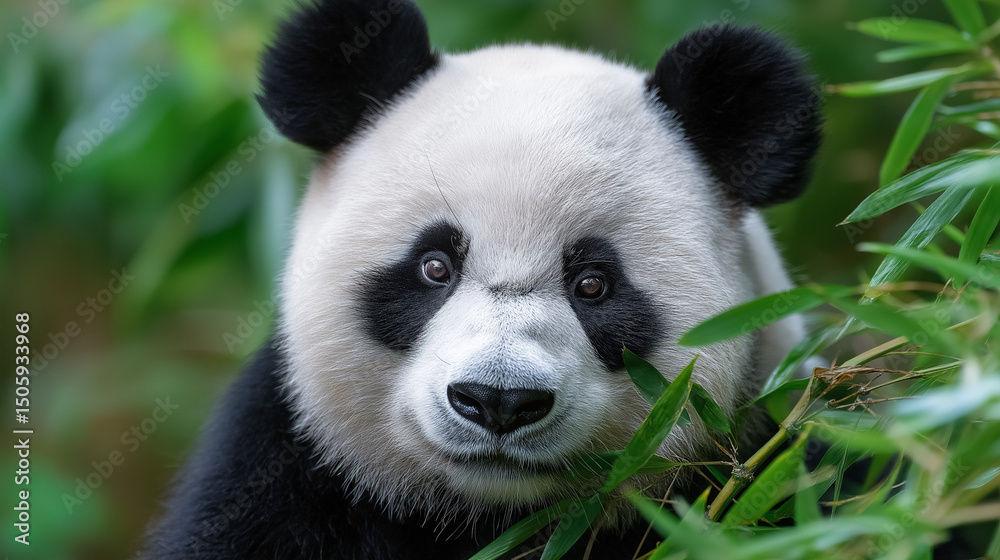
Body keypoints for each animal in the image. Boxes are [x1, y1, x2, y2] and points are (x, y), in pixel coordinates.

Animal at [140, 0, 821, 558]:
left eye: (593, 284)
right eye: (434, 267)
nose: (498, 401)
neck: (486, 518)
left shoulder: (773, 447)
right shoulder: (283, 465)